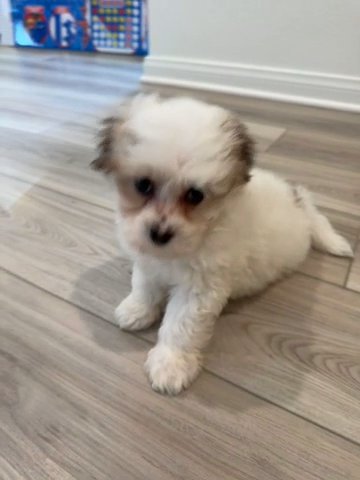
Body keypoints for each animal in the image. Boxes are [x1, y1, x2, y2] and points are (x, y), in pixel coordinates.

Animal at [91, 94, 352, 394]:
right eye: (143, 185)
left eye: (195, 195)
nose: (159, 234)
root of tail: (297, 202)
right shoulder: (149, 262)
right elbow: (144, 286)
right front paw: (137, 310)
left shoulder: (200, 288)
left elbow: (181, 325)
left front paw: (171, 363)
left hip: (308, 220)